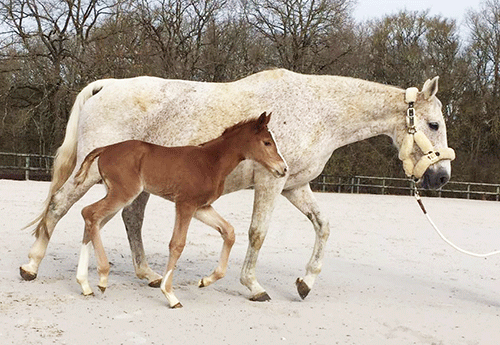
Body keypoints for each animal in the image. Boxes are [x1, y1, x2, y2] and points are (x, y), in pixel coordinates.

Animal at [72, 112, 288, 306]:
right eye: (267, 142)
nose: (283, 169)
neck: (211, 161)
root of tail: (105, 148)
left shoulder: (201, 207)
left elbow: (229, 232)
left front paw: (205, 281)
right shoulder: (185, 204)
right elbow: (177, 244)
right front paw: (170, 294)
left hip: (116, 194)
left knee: (92, 220)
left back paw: (85, 284)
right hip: (123, 193)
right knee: (89, 213)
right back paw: (102, 277)